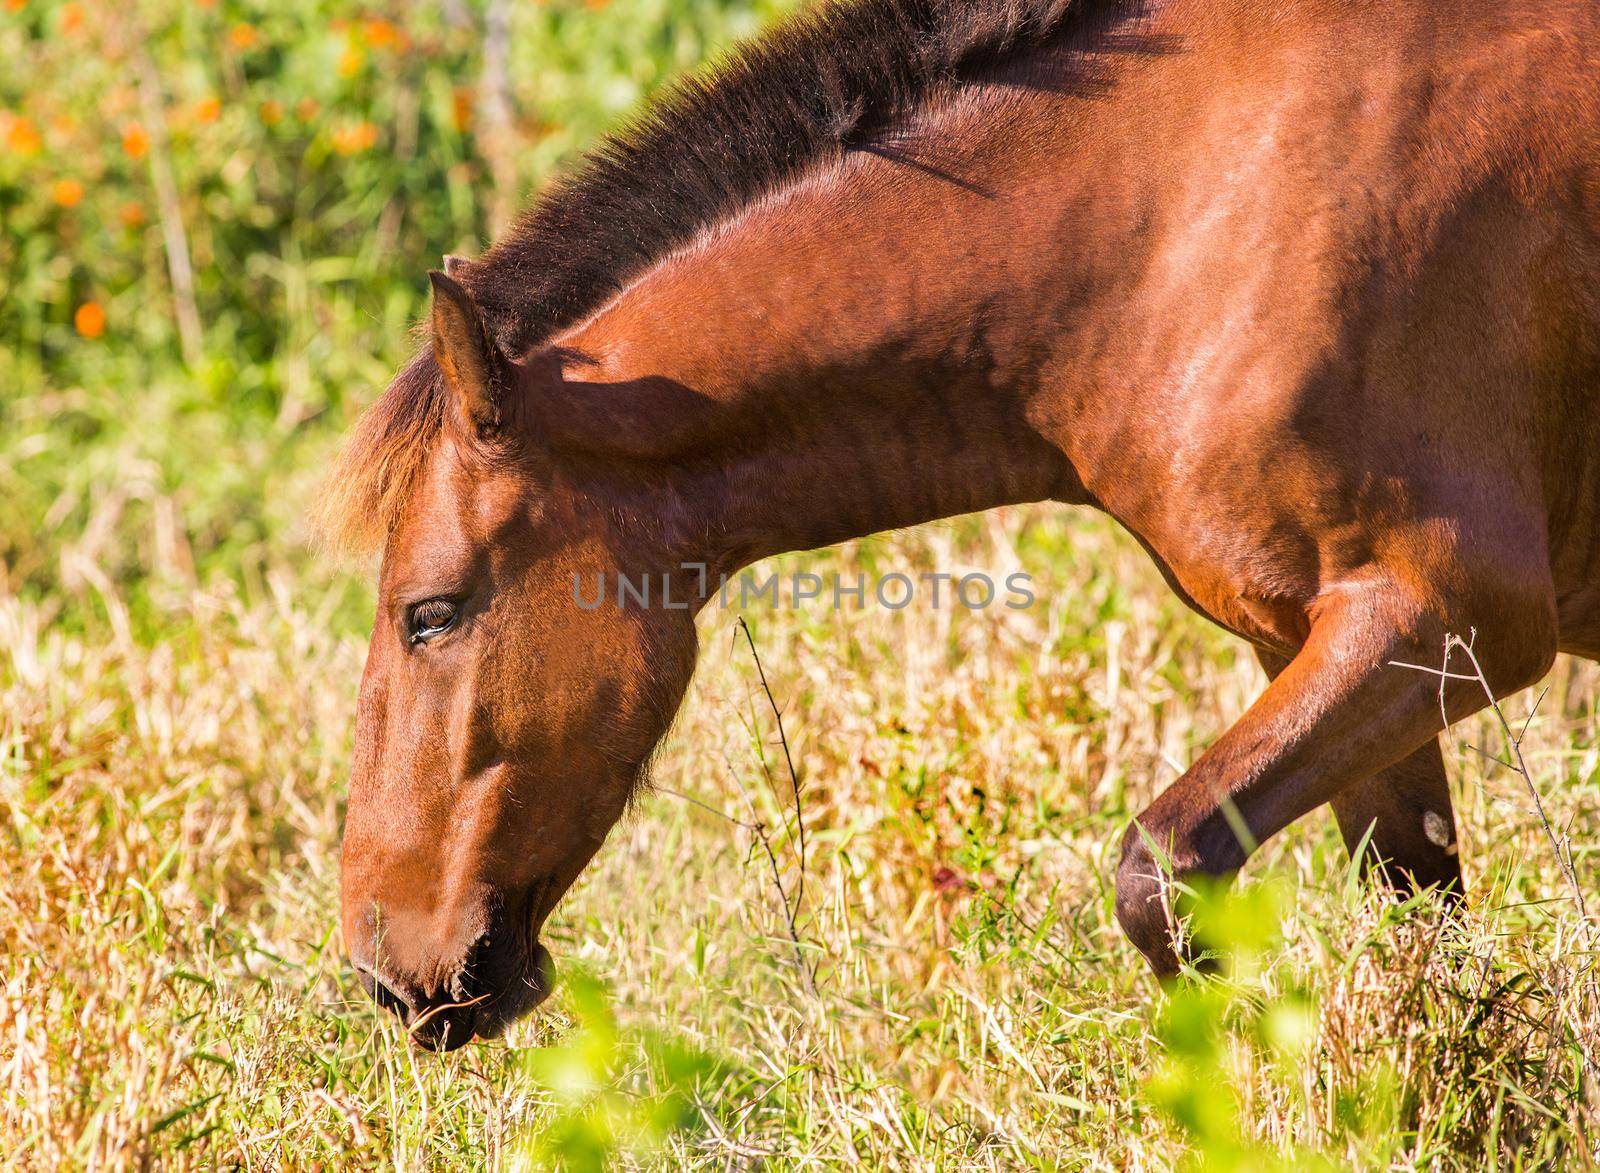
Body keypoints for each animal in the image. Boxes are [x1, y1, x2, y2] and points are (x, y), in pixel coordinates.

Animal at [318, 0, 1600, 1049]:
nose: (388, 972)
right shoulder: (1316, 642)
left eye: (431, 614)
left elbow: (1160, 873)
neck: (1176, 212)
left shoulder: (1444, 618)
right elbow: (1420, 924)